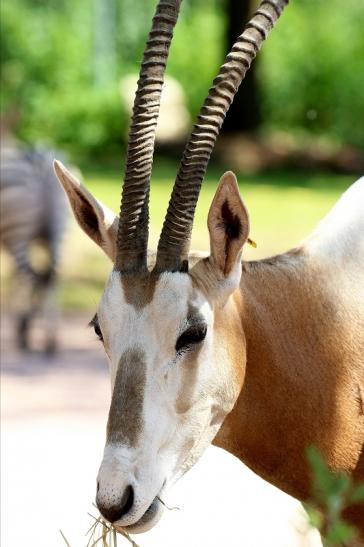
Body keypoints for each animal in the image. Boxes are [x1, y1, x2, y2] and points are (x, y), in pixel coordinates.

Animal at [0, 146, 69, 354]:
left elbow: (17, 279)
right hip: (57, 231)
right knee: (52, 278)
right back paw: (50, 339)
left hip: (18, 234)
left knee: (30, 277)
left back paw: (24, 333)